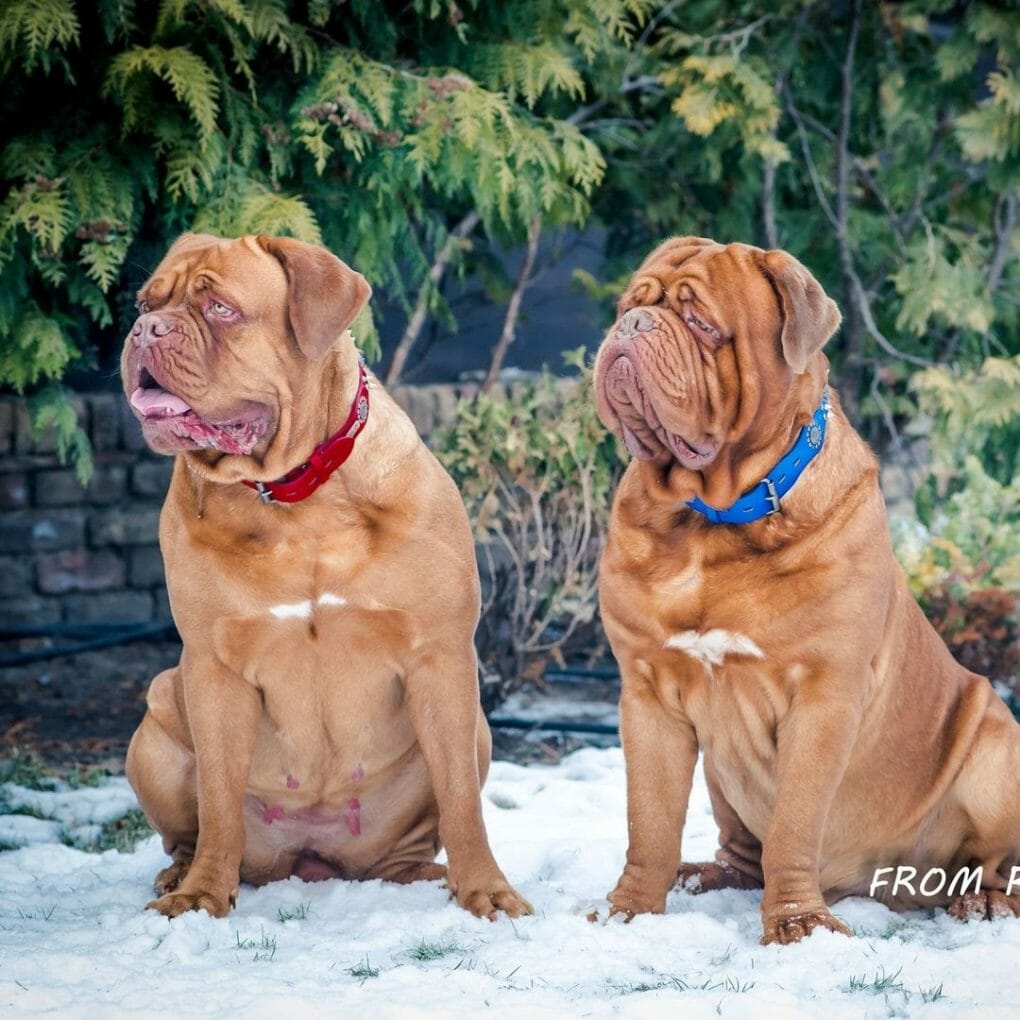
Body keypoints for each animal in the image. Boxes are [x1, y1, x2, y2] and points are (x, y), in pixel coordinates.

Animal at [123, 234, 530, 922]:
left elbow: (463, 806)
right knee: (193, 829)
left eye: (221, 308)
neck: (298, 497)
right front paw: (202, 895)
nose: (146, 330)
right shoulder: (212, 667)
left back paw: (427, 875)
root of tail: (313, 862)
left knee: (423, 831)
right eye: (145, 304)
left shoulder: (442, 658)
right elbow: (218, 800)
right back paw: (180, 875)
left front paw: (488, 891)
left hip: (474, 730)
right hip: (157, 714)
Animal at [591, 234, 1020, 942]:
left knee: (994, 859)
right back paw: (701, 876)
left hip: (995, 750)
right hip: (722, 776)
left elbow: (794, 823)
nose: (631, 326)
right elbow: (647, 820)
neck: (714, 520)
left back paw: (983, 899)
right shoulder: (648, 690)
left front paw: (798, 926)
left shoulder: (823, 695)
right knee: (740, 851)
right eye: (630, 305)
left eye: (702, 323)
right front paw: (629, 911)